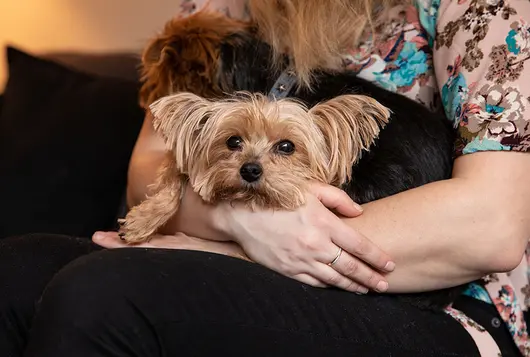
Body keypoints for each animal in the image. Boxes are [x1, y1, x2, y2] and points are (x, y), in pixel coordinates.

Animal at [121, 90, 390, 243]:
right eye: (233, 141)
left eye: (286, 146)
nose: (250, 170)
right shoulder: (174, 162)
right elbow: (172, 182)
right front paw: (143, 220)